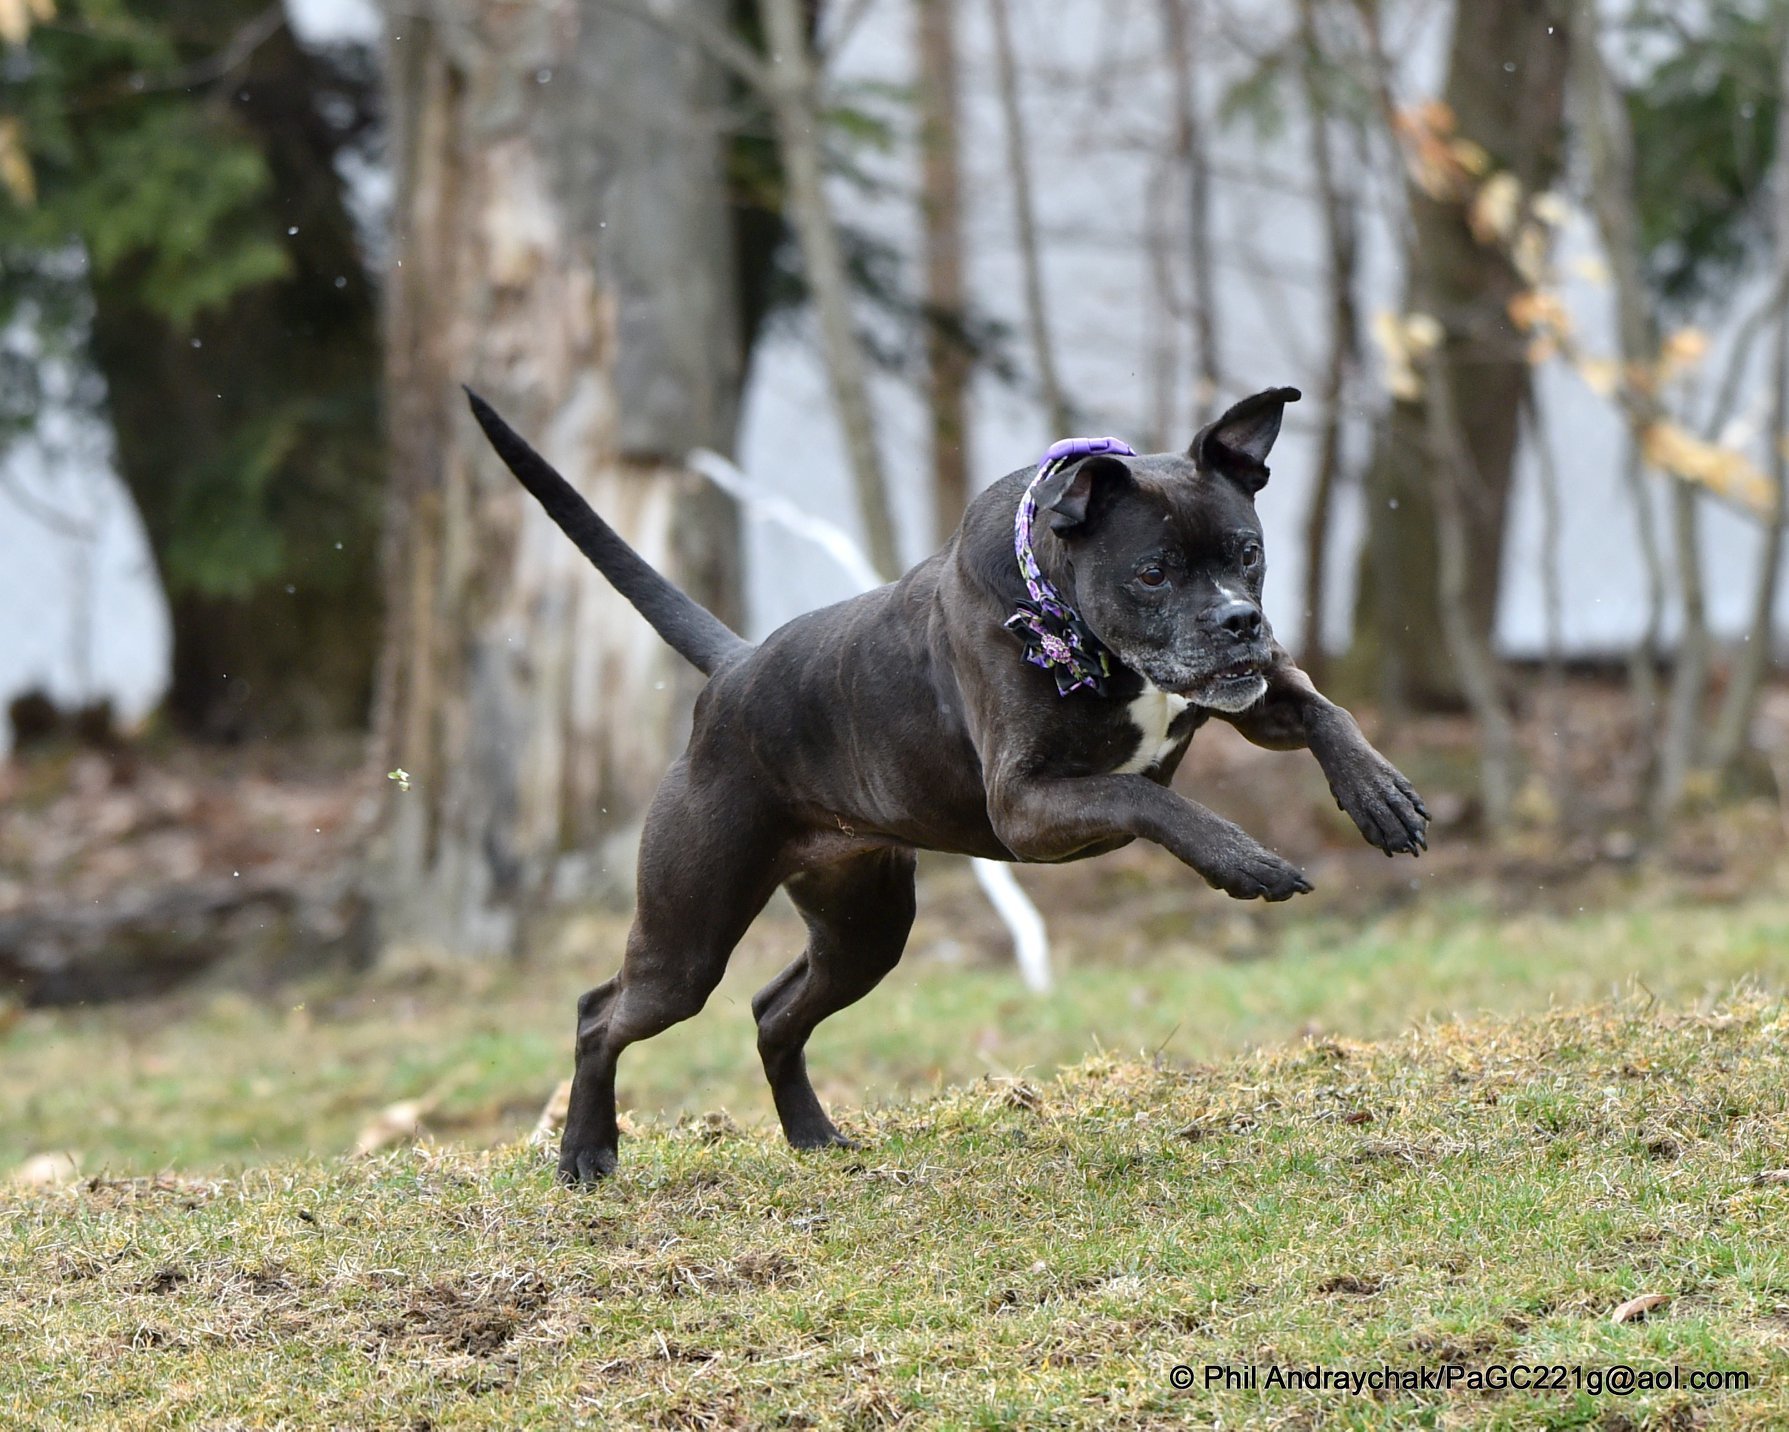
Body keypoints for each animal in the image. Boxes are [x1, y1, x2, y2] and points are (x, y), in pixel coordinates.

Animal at [461, 386, 1424, 1181]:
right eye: (1151, 571)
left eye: (1247, 553)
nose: (1238, 620)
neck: (1060, 606)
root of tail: (732, 670)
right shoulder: (1027, 806)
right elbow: (1149, 796)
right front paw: (1244, 860)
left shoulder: (1255, 693)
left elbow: (1327, 712)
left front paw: (1380, 799)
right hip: (688, 935)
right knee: (601, 1012)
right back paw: (586, 1154)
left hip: (864, 928)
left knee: (774, 1012)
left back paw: (813, 1137)